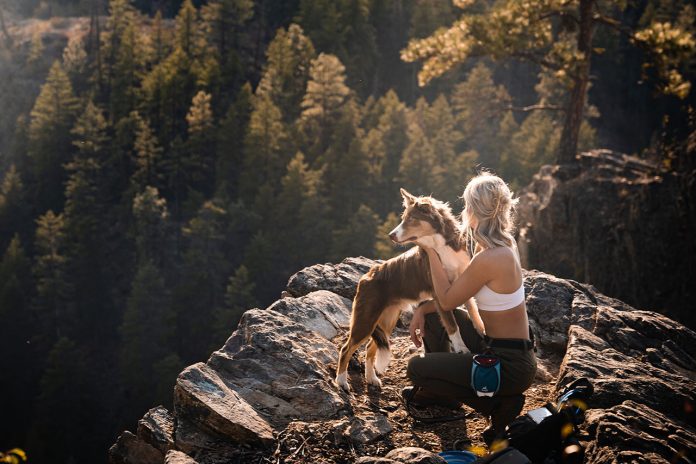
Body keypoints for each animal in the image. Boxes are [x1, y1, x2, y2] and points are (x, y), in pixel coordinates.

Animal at [336, 188, 478, 392]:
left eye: (411, 219)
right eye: (403, 218)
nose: (390, 235)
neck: (441, 246)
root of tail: (366, 276)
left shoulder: (463, 283)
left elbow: (474, 312)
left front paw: (482, 330)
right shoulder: (441, 294)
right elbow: (452, 326)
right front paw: (462, 349)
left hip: (386, 321)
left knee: (370, 348)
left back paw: (371, 378)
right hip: (365, 320)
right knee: (346, 349)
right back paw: (341, 381)